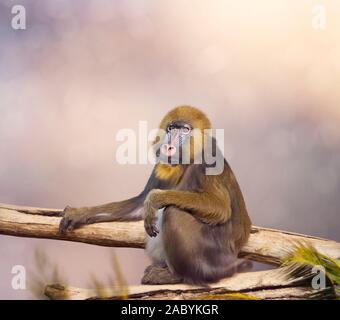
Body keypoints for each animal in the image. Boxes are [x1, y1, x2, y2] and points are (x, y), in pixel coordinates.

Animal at [58, 106, 251, 284]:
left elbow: (220, 208)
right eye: (171, 128)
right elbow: (138, 205)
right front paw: (78, 213)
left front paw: (156, 198)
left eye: (184, 130)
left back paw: (184, 275)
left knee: (173, 212)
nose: (170, 145)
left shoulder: (207, 161)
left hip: (215, 251)